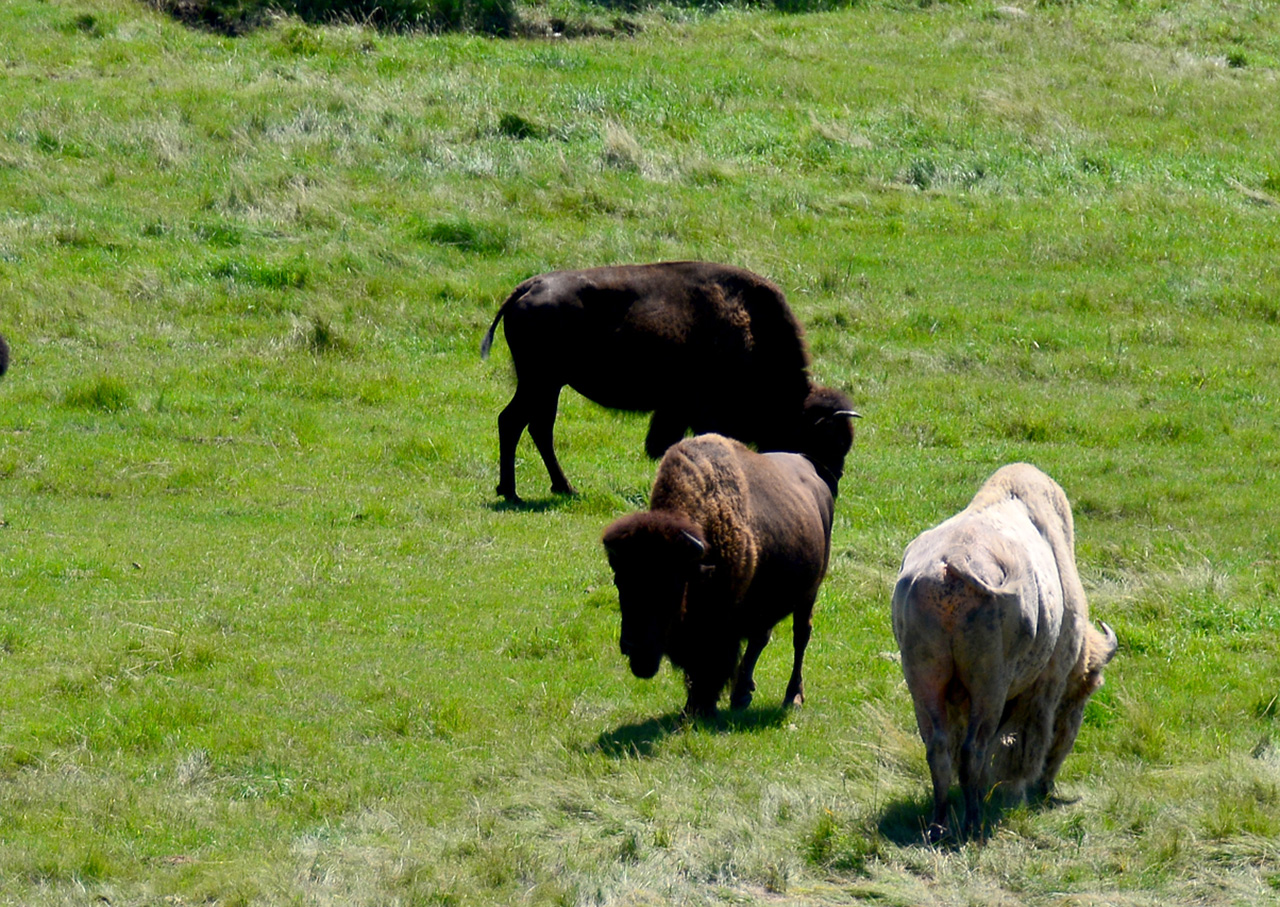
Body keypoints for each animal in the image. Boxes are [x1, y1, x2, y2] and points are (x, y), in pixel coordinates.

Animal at [476, 262, 855, 498]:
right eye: (826, 440)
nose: (830, 485)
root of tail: (527, 287)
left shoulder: (676, 412)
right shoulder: (699, 412)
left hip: (546, 384)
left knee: (532, 425)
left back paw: (549, 488)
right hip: (540, 381)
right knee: (517, 422)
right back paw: (521, 491)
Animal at [601, 427, 860, 721]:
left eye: (672, 585)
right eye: (620, 581)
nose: (634, 647)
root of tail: (814, 473)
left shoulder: (721, 625)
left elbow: (710, 664)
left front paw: (701, 708)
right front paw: (693, 708)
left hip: (809, 593)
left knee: (800, 637)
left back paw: (792, 697)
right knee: (760, 639)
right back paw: (741, 694)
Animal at [890, 463, 1121, 839]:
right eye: (1083, 696)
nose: (1049, 785)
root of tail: (951, 562)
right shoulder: (1047, 685)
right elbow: (1026, 739)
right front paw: (1018, 790)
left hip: (923, 681)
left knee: (939, 746)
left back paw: (939, 824)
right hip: (989, 686)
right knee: (974, 747)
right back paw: (973, 824)